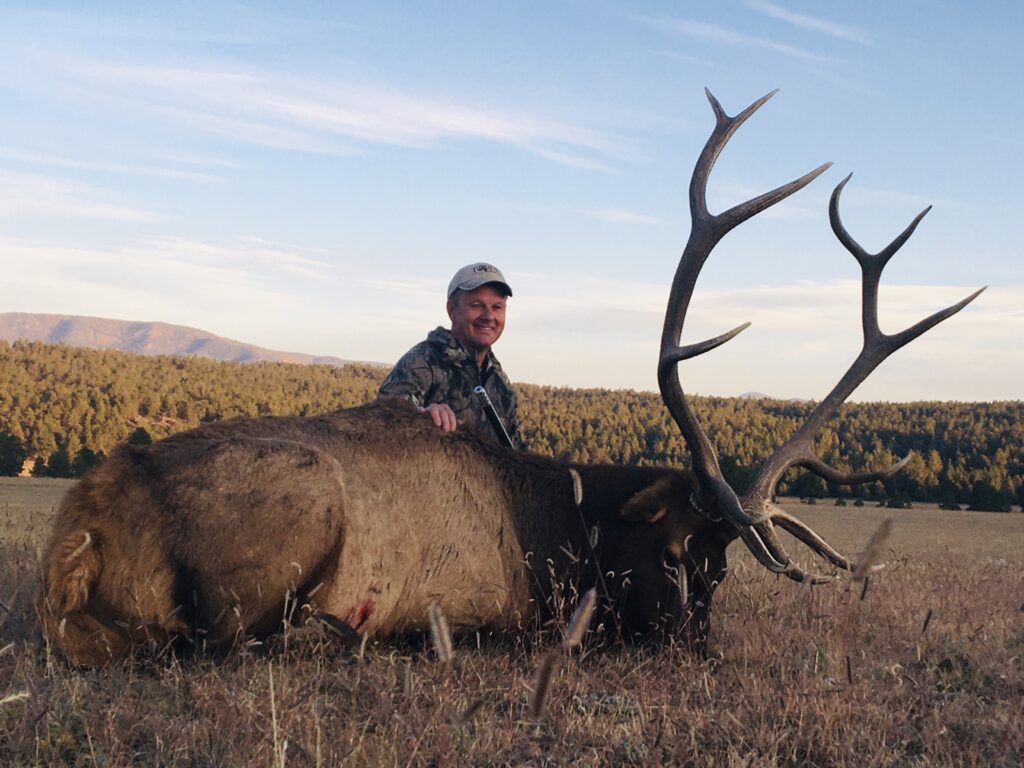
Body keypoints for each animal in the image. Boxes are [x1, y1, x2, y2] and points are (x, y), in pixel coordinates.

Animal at [40, 90, 982, 667]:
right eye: (672, 552)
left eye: (722, 572)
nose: (699, 651)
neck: (565, 528)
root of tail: (79, 533)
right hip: (296, 520)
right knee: (234, 641)